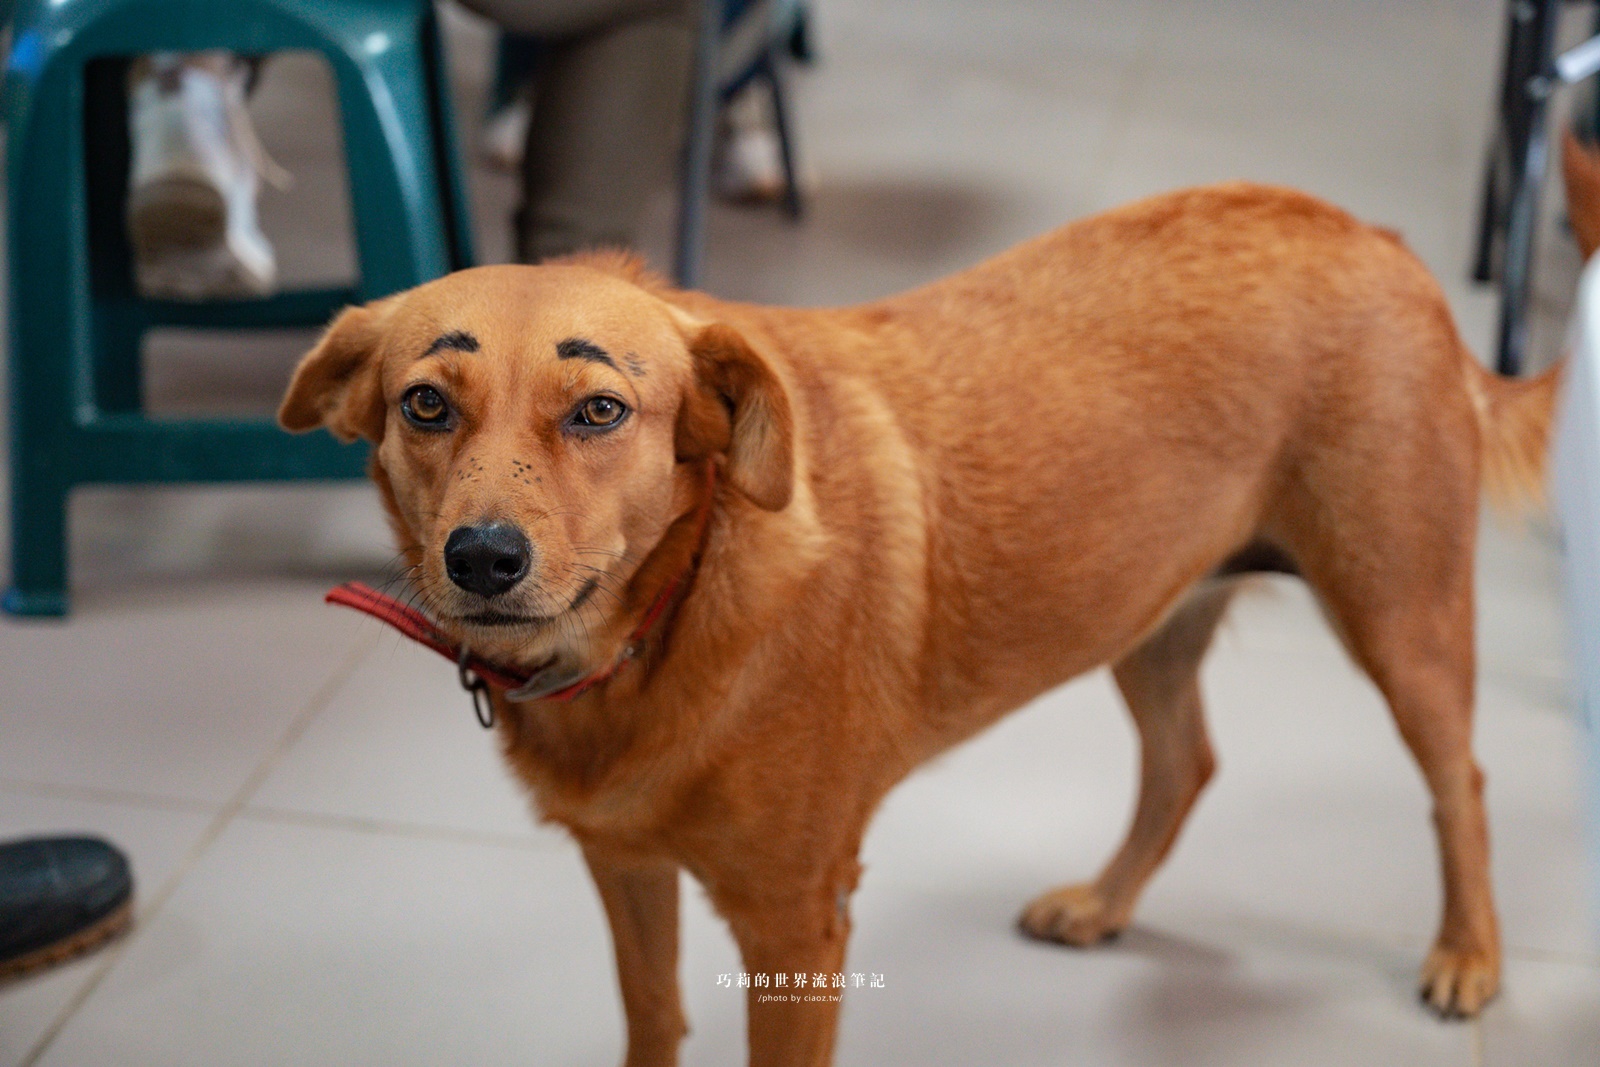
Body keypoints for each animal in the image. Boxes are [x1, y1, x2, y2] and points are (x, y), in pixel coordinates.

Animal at [278, 185, 1561, 1067]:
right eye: (425, 404)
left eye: (599, 410)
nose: (481, 559)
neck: (674, 608)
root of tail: (1373, 234)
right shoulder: (626, 867)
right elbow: (654, 1018)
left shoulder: (796, 923)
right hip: (1145, 610)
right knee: (1185, 762)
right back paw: (1104, 903)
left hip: (1401, 616)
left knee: (1462, 780)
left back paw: (1467, 952)